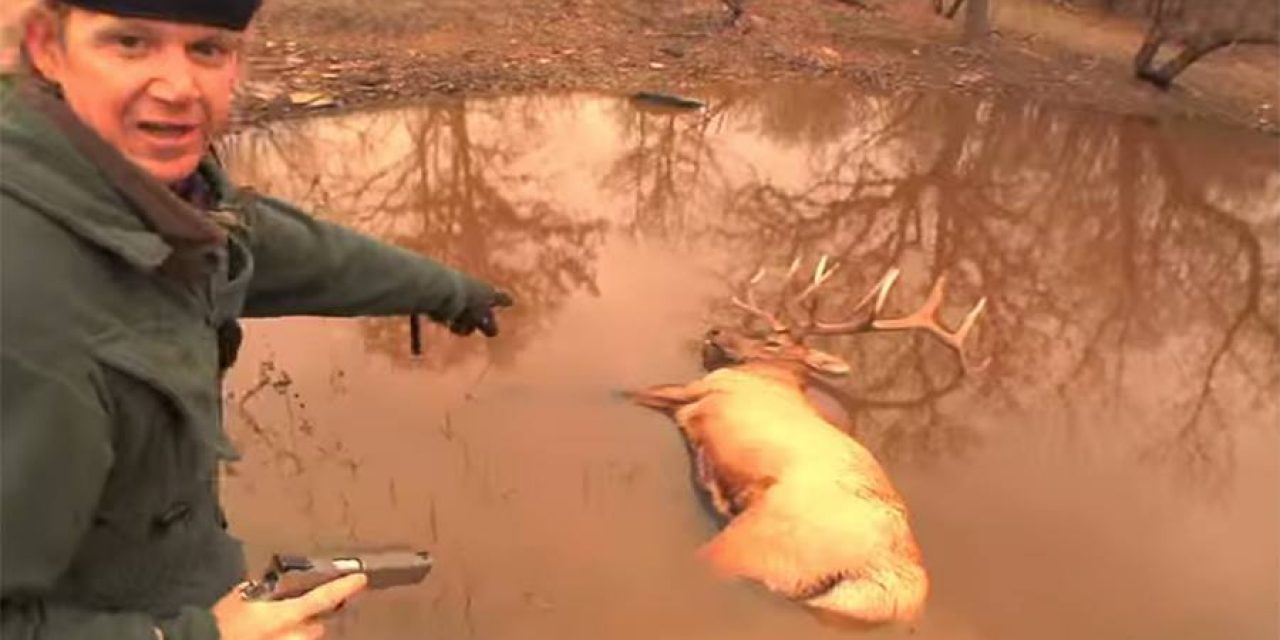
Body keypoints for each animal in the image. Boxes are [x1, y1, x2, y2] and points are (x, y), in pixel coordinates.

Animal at [624, 257, 983, 622]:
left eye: (773, 342)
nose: (715, 331)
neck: (774, 379)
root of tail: (886, 582)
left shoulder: (703, 389)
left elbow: (628, 391)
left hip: (749, 544)